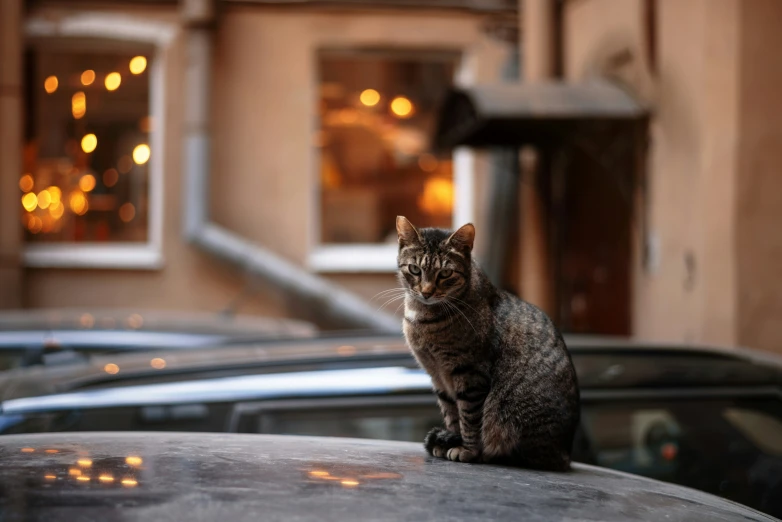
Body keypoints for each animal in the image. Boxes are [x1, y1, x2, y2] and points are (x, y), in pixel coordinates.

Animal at [398, 213, 580, 470]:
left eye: (445, 274)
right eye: (414, 269)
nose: (426, 292)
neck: (424, 318)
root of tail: (566, 453)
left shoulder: (470, 374)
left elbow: (470, 418)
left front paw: (467, 450)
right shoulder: (438, 377)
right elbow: (452, 415)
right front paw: (452, 439)